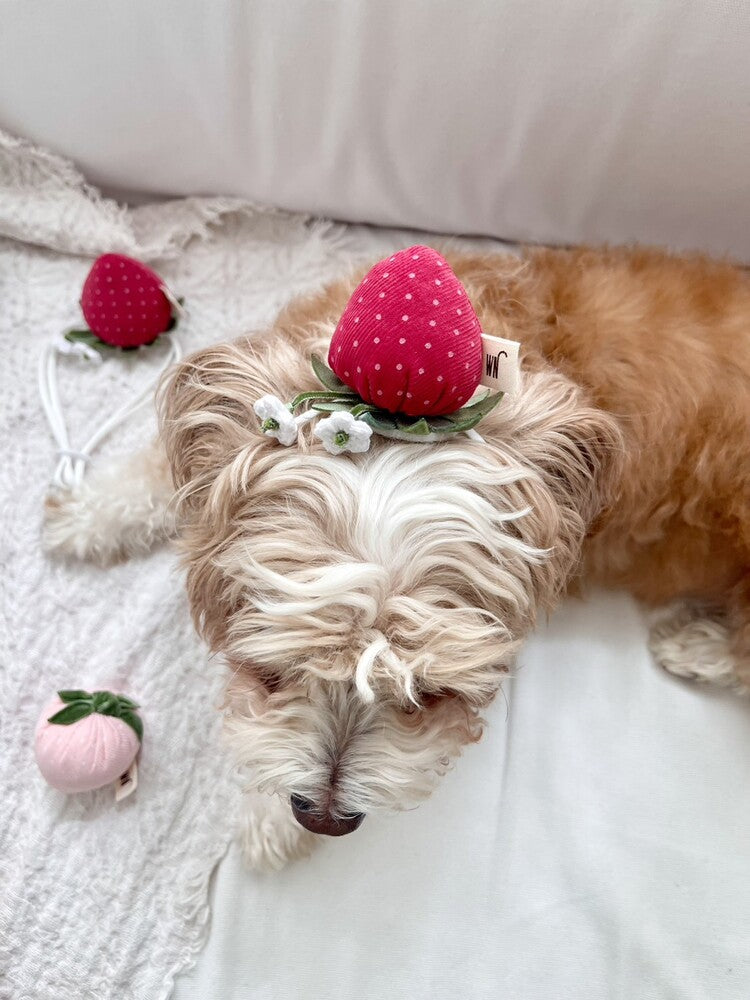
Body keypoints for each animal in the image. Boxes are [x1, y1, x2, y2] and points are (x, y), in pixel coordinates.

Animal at [45, 244, 750, 868]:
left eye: (430, 695)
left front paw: (269, 819)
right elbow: (159, 477)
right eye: (271, 672)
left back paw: (700, 644)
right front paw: (87, 513)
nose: (324, 818)